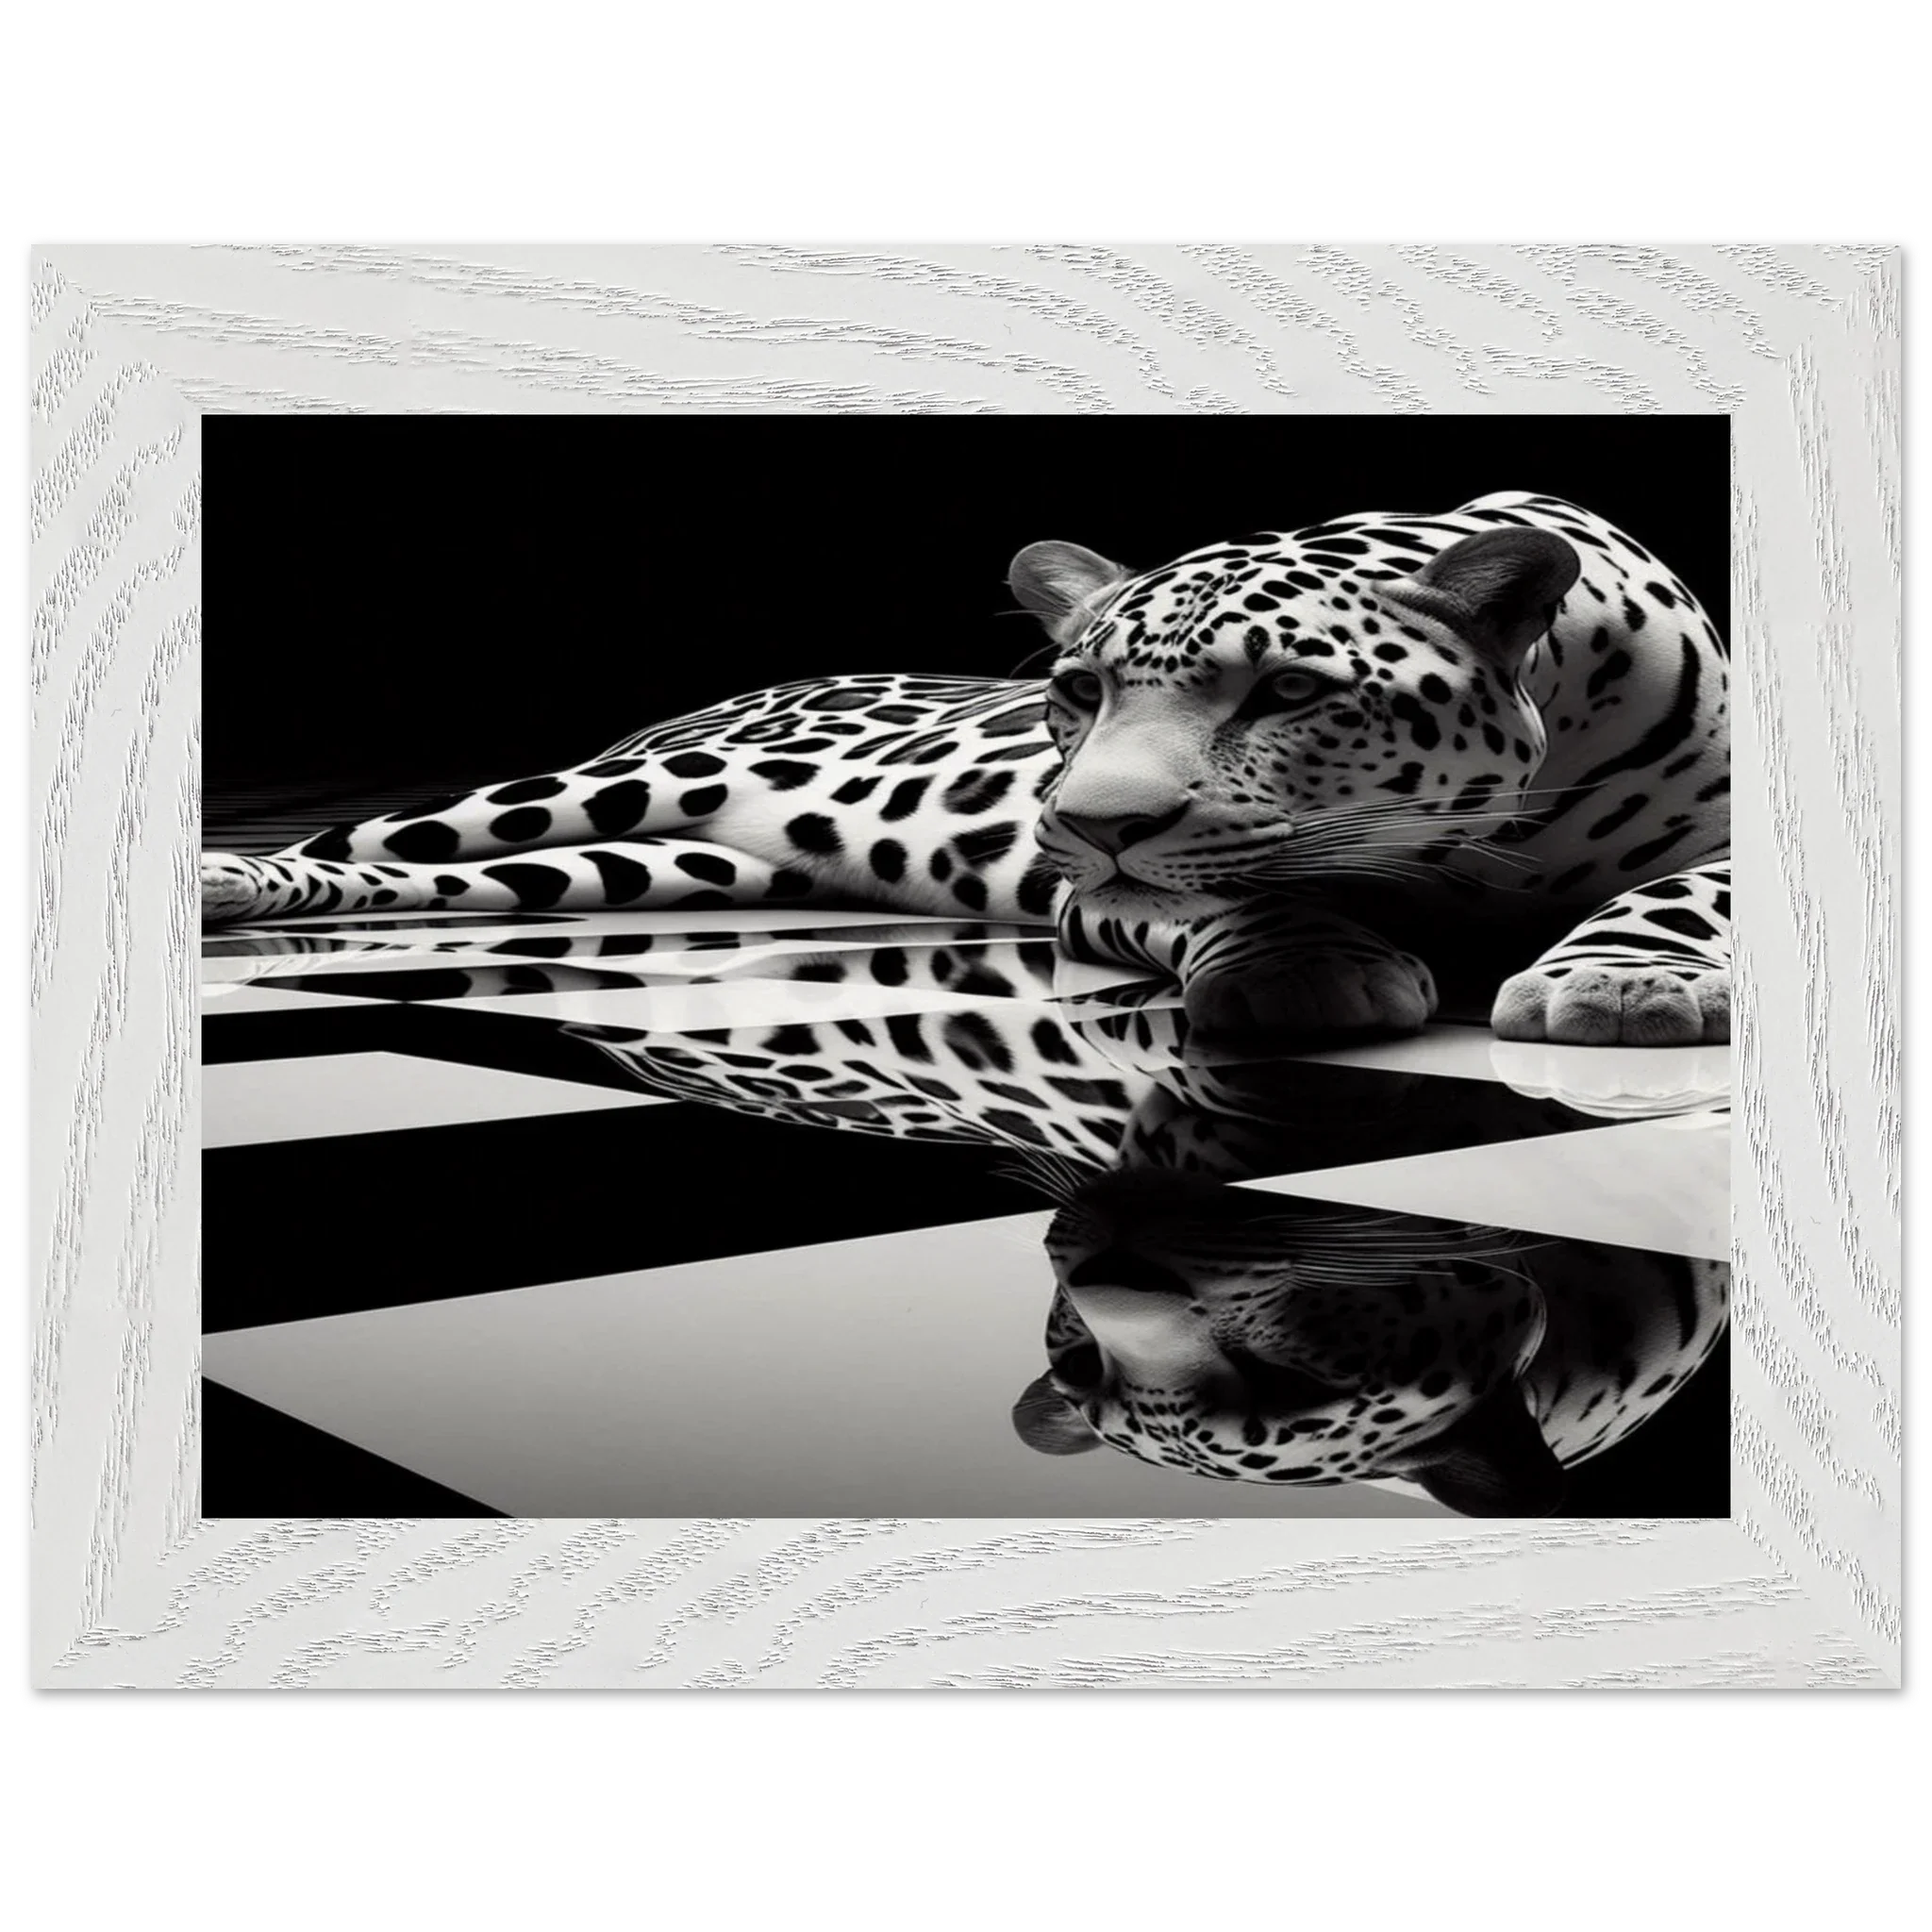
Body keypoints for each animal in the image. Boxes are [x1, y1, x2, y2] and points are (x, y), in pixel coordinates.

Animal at [201, 491, 1731, 1047]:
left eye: (1291, 690)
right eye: (1078, 691)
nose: (1087, 819)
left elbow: (1684, 893)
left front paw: (1622, 982)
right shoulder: (1097, 893)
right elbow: (1228, 891)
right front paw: (1308, 967)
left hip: (647, 862)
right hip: (596, 793)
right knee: (367, 842)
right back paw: (230, 881)